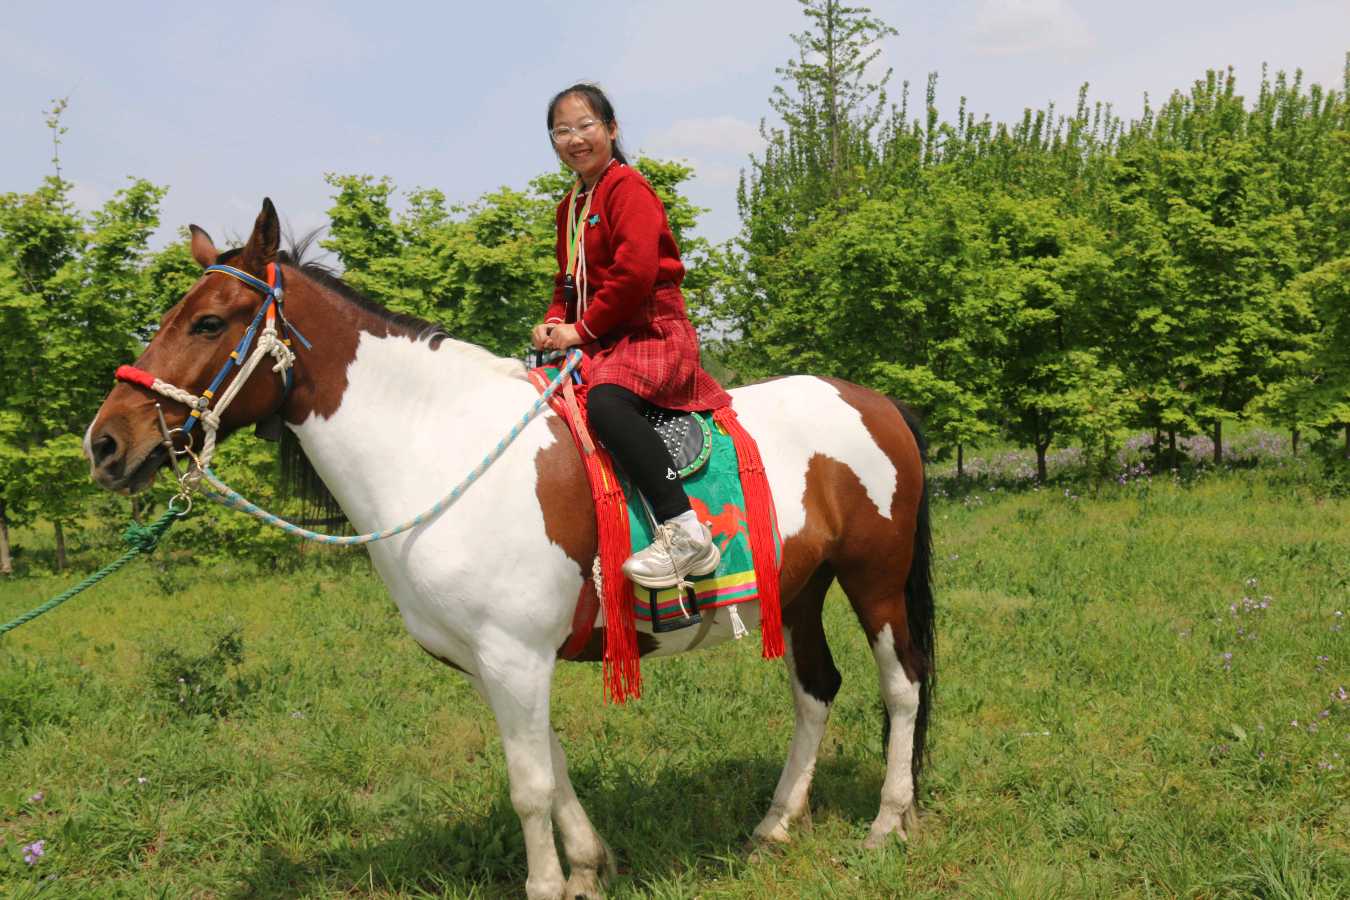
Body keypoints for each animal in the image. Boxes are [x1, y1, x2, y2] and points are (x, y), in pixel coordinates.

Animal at [85, 199, 935, 900]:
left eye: (209, 322)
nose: (105, 443)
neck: (437, 446)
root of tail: (877, 402)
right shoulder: (497, 662)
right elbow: (551, 770)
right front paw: (589, 868)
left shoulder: (515, 654)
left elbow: (528, 786)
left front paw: (552, 885)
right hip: (801, 590)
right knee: (815, 690)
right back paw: (775, 825)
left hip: (875, 581)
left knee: (902, 688)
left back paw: (887, 824)